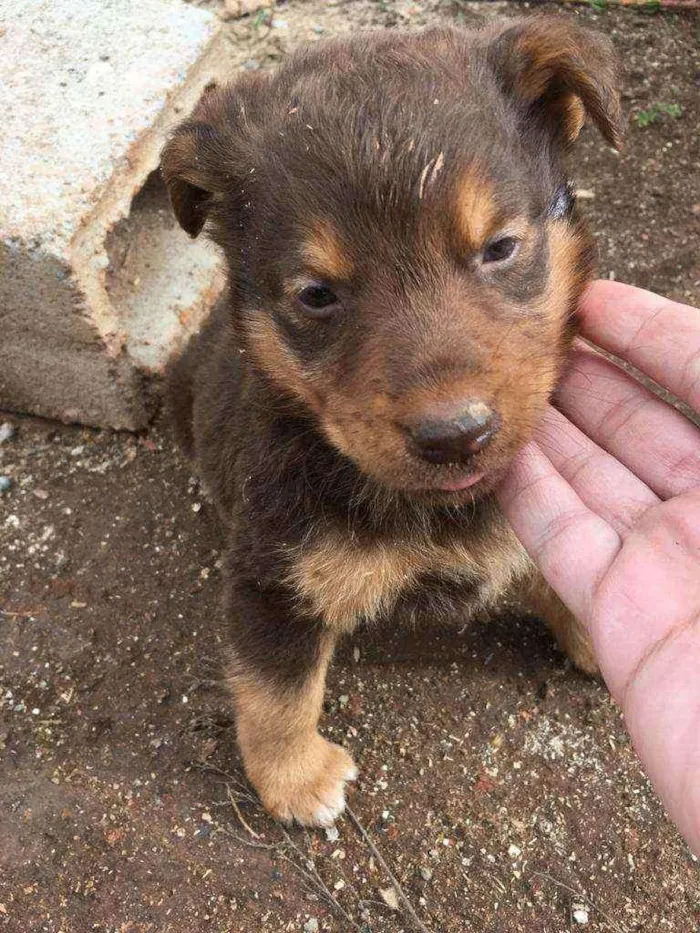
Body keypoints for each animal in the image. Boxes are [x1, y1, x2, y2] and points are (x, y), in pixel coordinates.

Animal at [163, 16, 624, 824]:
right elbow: (275, 692)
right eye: (316, 294)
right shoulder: (275, 576)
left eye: (500, 247)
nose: (456, 435)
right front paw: (295, 779)